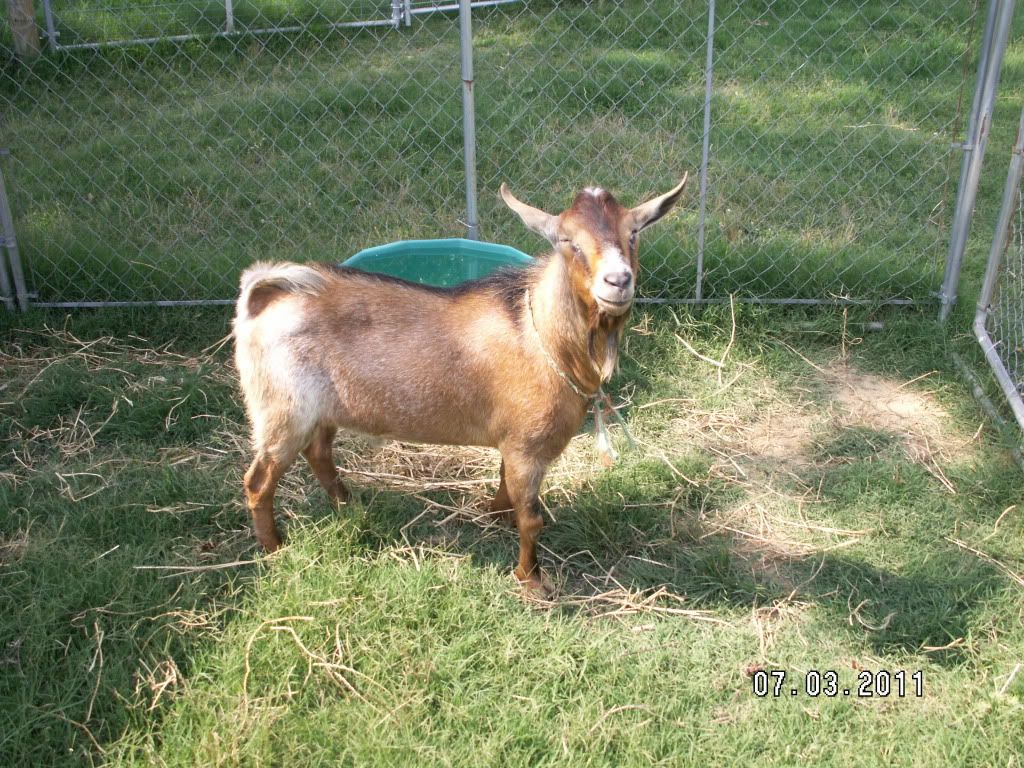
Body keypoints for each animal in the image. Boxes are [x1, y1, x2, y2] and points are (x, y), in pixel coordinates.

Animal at [233, 176, 688, 592]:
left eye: (633, 232)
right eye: (566, 240)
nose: (618, 281)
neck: (543, 336)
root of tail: (264, 296)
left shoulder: (514, 442)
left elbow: (505, 483)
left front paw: (494, 516)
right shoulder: (527, 447)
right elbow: (532, 519)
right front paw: (530, 581)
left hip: (321, 410)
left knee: (320, 454)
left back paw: (348, 506)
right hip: (281, 411)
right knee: (259, 481)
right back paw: (274, 547)